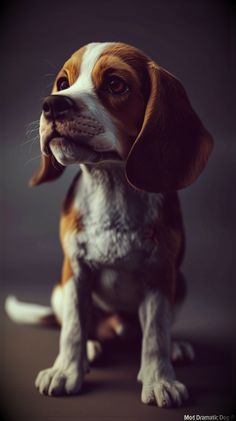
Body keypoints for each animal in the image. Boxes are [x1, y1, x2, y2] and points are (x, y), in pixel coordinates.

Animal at [5, 41, 213, 406]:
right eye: (63, 83)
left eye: (116, 84)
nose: (52, 104)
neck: (111, 185)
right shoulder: (75, 271)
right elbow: (73, 328)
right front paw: (66, 371)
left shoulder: (161, 274)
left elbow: (156, 333)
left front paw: (160, 379)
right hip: (60, 290)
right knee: (76, 324)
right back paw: (90, 348)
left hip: (181, 284)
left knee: (149, 332)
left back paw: (174, 347)